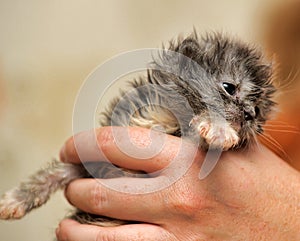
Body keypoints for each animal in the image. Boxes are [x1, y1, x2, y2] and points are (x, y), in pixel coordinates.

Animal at [0, 32, 276, 228]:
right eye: (229, 87)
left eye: (259, 110)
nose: (250, 115)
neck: (165, 118)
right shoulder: (93, 160)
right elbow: (55, 173)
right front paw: (16, 199)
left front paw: (219, 130)